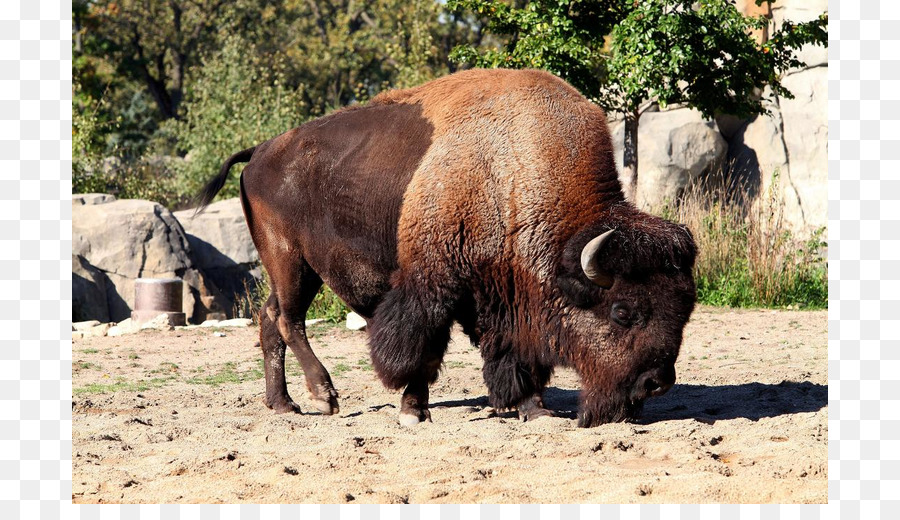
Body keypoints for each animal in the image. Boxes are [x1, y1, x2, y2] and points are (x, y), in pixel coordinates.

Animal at [197, 68, 700, 426]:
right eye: (622, 312)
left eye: (685, 310)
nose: (655, 383)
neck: (511, 171)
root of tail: (261, 151)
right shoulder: (431, 282)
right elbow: (422, 346)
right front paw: (412, 410)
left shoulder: (502, 294)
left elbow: (512, 352)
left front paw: (531, 408)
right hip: (291, 258)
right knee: (288, 319)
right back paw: (325, 396)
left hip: (294, 268)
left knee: (269, 317)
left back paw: (282, 404)